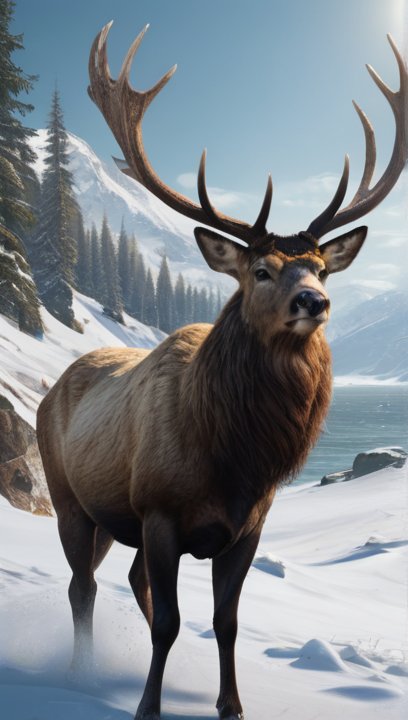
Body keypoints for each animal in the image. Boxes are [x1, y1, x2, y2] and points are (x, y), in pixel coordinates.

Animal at [36, 23, 407, 720]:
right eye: (261, 270)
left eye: (321, 266)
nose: (314, 301)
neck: (232, 456)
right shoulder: (157, 510)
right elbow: (168, 621)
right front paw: (147, 707)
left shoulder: (247, 526)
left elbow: (225, 621)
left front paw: (230, 705)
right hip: (72, 498)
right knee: (81, 585)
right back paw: (77, 673)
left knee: (117, 580)